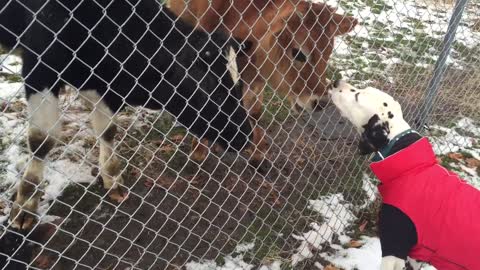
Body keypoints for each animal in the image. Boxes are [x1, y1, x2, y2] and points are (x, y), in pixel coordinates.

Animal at [0, 0, 253, 230]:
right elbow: (42, 140)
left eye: (239, 84)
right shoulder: (40, 69)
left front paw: (112, 178)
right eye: (213, 89)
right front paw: (25, 205)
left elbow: (108, 131)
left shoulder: (106, 87)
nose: (245, 136)